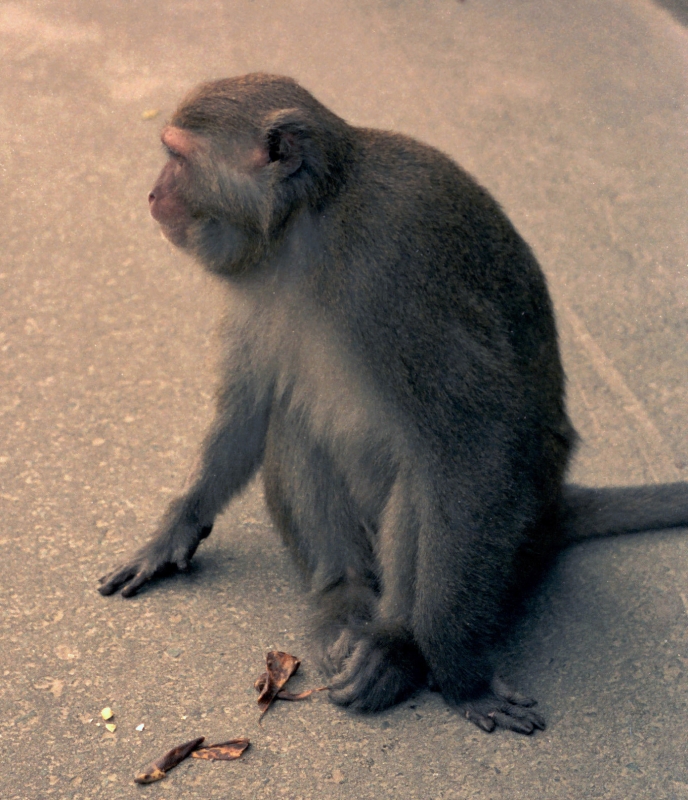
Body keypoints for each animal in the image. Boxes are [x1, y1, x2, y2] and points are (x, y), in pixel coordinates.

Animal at [98, 73, 688, 732]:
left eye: (176, 157)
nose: (153, 194)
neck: (309, 224)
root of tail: (555, 506)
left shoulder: (395, 265)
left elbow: (477, 442)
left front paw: (460, 675)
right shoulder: (258, 277)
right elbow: (249, 407)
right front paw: (174, 531)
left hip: (516, 531)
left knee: (428, 473)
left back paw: (396, 646)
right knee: (295, 421)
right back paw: (343, 597)